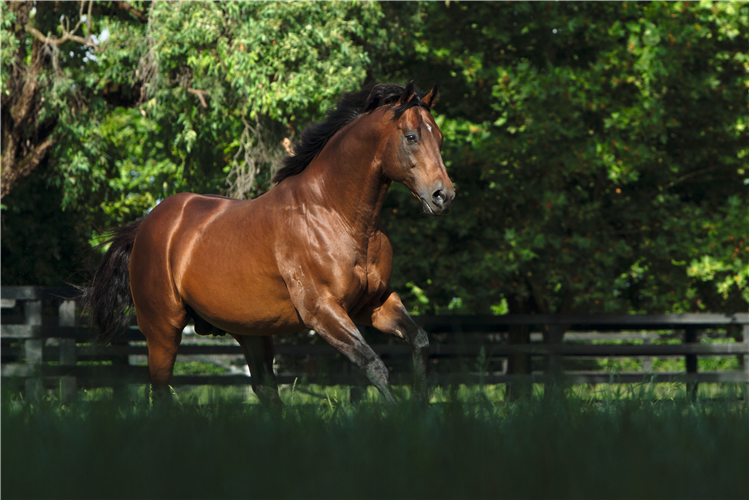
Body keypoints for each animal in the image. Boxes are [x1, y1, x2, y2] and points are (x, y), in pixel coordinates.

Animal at [84, 82, 452, 408]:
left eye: (439, 137)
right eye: (411, 136)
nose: (443, 195)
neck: (337, 215)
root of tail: (147, 225)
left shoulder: (373, 303)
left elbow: (420, 341)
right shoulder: (323, 311)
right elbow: (374, 366)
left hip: (252, 332)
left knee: (265, 391)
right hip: (163, 330)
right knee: (160, 393)